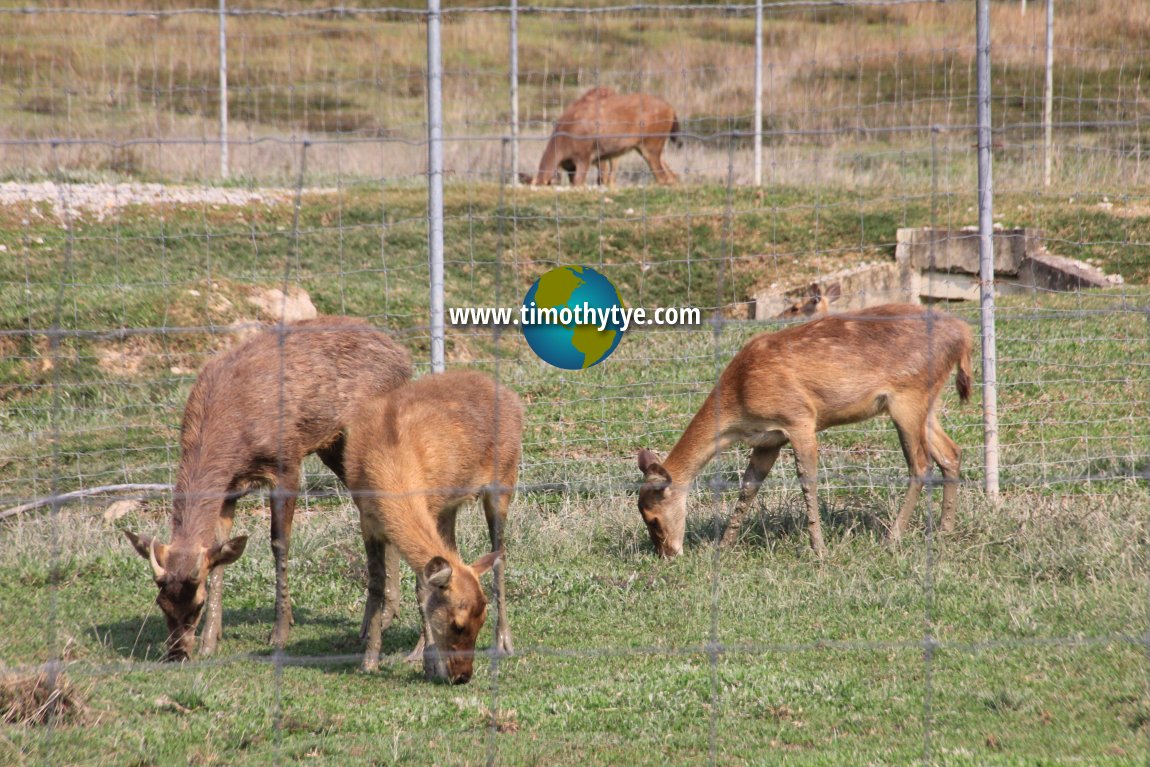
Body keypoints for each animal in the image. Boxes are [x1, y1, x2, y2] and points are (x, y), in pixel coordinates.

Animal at [124, 317, 414, 662]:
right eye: (161, 603)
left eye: (197, 603)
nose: (178, 653)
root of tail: (405, 359)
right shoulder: (229, 488)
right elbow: (220, 549)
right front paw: (211, 639)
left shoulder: (286, 461)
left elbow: (279, 543)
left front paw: (280, 631)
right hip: (334, 448)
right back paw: (382, 615)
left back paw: (377, 619)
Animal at [340, 367, 522, 685]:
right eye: (458, 624)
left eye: (481, 621)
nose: (463, 676)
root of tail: (514, 398)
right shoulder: (366, 517)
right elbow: (376, 584)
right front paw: (369, 661)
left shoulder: (433, 503)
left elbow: (421, 587)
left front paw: (426, 661)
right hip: (452, 506)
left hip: (504, 481)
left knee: (500, 556)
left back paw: (504, 642)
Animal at [531, 87, 680, 187]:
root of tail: (671, 110)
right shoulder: (571, 166)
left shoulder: (584, 155)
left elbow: (580, 183)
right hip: (646, 146)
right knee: (671, 175)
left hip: (651, 143)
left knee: (663, 177)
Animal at [639, 303, 970, 558]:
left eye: (652, 519)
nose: (668, 553)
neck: (739, 401)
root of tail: (962, 336)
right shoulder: (768, 440)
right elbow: (748, 488)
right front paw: (723, 546)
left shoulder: (799, 418)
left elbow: (807, 481)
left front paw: (819, 550)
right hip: (927, 403)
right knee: (951, 453)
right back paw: (944, 530)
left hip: (907, 396)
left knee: (921, 464)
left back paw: (893, 536)